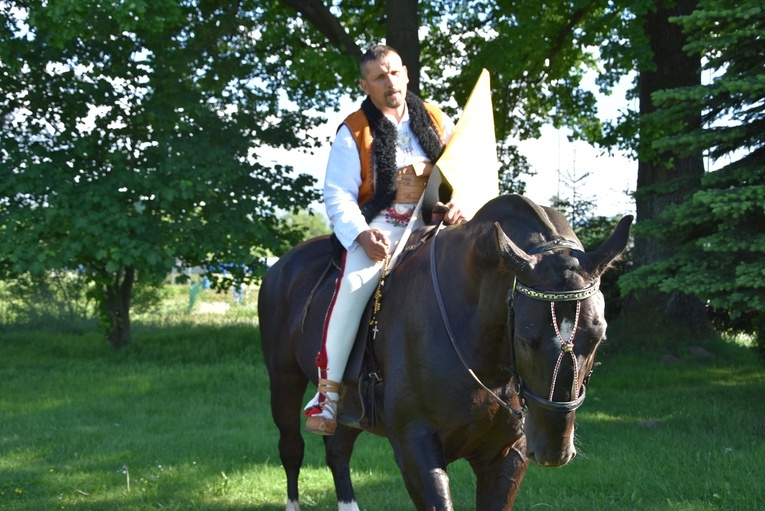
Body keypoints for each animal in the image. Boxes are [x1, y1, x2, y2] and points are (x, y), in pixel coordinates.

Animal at [260, 195, 628, 511]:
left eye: (599, 337)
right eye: (525, 339)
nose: (553, 449)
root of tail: (283, 265)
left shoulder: (508, 454)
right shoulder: (416, 449)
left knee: (338, 450)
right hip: (284, 380)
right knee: (291, 448)